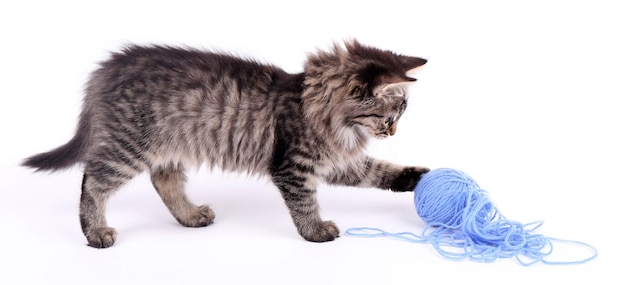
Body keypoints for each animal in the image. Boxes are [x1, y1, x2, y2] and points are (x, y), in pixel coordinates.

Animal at [22, 39, 426, 246]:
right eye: (389, 117)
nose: (393, 133)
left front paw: (417, 178)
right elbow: (305, 204)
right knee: (92, 182)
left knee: (163, 180)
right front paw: (315, 231)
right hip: (129, 146)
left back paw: (190, 215)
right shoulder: (295, 167)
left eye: (400, 117)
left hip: (167, 144)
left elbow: (377, 172)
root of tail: (110, 67)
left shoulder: (337, 160)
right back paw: (95, 232)